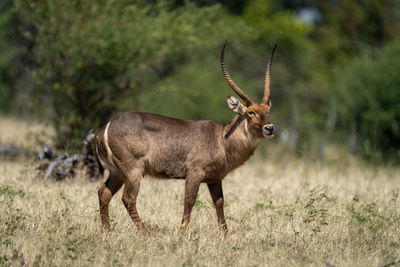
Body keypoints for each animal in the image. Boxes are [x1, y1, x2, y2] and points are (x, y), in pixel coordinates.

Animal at [94, 42, 276, 234]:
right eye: (251, 112)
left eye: (268, 111)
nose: (270, 128)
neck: (221, 140)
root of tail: (105, 127)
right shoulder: (194, 172)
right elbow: (189, 201)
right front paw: (182, 232)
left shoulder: (215, 178)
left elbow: (219, 203)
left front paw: (225, 234)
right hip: (133, 169)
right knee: (128, 198)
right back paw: (146, 232)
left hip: (117, 172)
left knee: (103, 193)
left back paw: (107, 229)